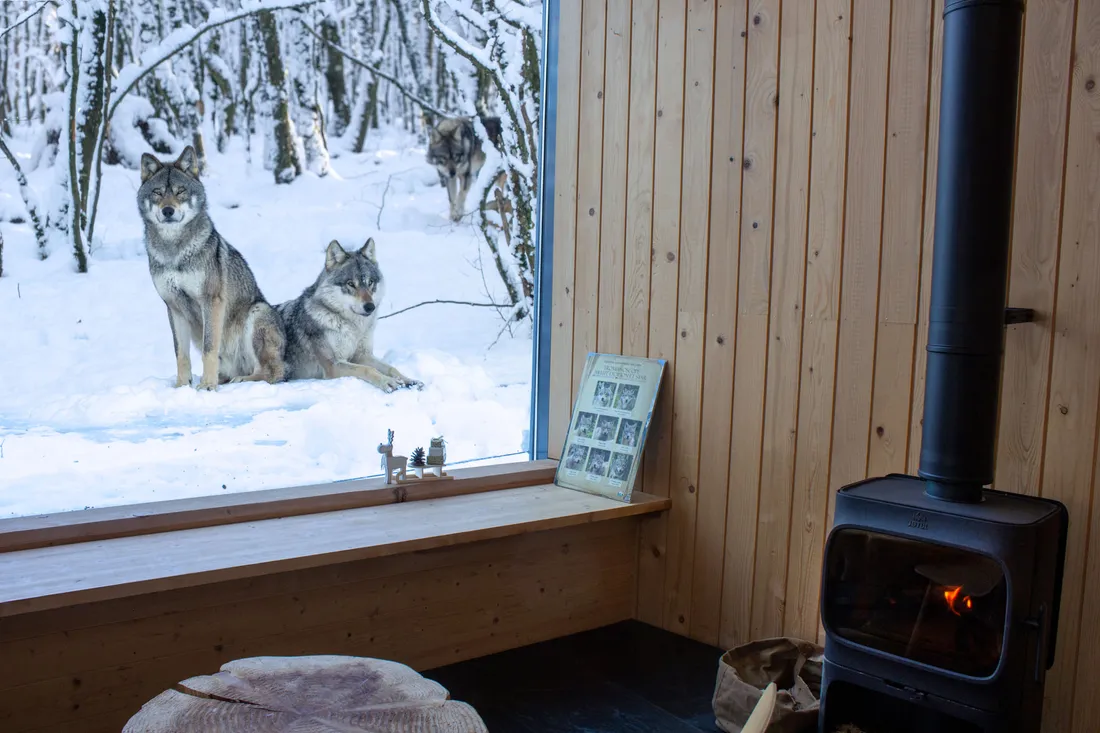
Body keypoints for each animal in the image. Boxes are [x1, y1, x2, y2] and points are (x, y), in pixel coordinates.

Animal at [136, 145, 286, 391]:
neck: (174, 251)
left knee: (274, 372)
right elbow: (180, 354)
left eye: (180, 191)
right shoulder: (173, 307)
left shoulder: (211, 301)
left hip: (257, 312)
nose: (168, 211)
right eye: (158, 192)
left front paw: (207, 386)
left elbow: (209, 349)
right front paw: (181, 386)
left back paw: (241, 380)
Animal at [277, 236, 422, 391]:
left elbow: (391, 368)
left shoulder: (362, 356)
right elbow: (367, 369)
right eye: (351, 284)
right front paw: (388, 382)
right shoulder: (333, 365)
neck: (354, 327)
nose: (370, 307)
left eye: (370, 282)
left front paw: (409, 380)